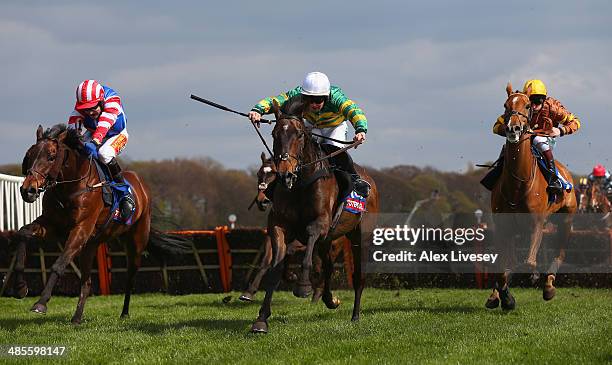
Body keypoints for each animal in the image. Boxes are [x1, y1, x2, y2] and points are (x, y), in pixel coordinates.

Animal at [14, 123, 191, 322]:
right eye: (28, 155)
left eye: (51, 157)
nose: (28, 190)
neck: (71, 187)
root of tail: (142, 186)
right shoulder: (53, 224)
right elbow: (23, 233)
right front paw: (20, 288)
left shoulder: (81, 229)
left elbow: (59, 264)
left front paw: (41, 303)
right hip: (91, 245)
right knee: (87, 282)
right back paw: (77, 318)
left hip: (136, 241)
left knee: (130, 276)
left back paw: (124, 312)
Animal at [250, 98, 378, 332]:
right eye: (274, 133)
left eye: (300, 134)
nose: (285, 172)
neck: (300, 184)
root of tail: (370, 180)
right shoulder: (279, 225)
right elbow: (275, 268)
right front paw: (261, 319)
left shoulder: (320, 224)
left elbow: (308, 248)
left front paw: (302, 286)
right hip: (330, 240)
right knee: (327, 266)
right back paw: (330, 299)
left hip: (360, 235)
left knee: (358, 276)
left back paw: (355, 316)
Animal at [486, 84, 576, 308]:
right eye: (506, 105)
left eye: (527, 105)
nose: (513, 129)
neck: (518, 184)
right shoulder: (502, 225)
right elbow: (504, 265)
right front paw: (503, 296)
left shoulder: (537, 222)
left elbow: (526, 262)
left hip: (566, 219)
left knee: (559, 254)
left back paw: (549, 286)